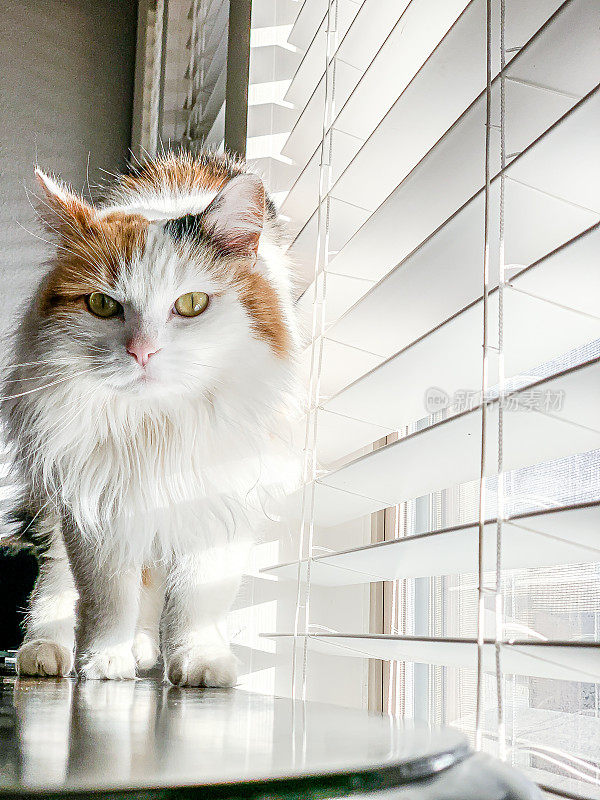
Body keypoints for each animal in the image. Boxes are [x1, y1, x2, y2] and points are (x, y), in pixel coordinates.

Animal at [0, 153, 300, 684]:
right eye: (102, 304)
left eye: (192, 304)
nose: (143, 352)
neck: (157, 427)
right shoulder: (97, 503)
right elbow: (107, 597)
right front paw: (103, 661)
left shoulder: (217, 498)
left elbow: (198, 599)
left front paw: (198, 659)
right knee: (57, 580)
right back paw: (45, 651)